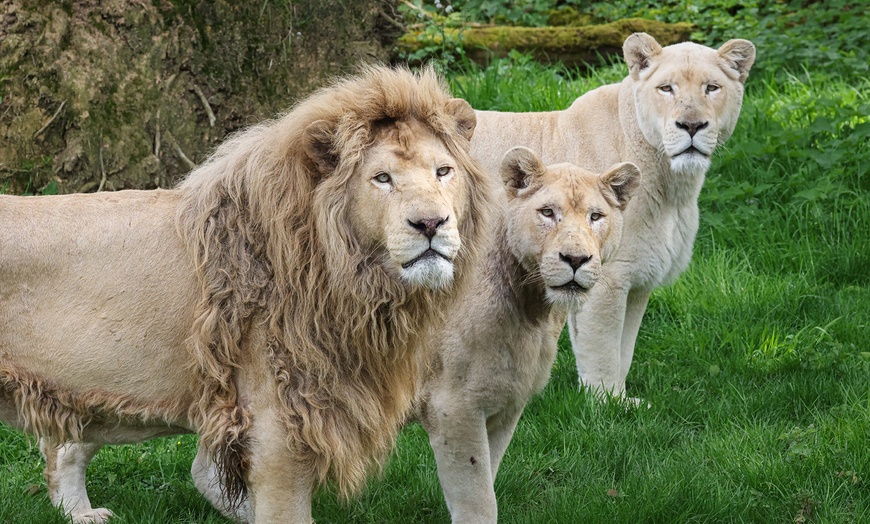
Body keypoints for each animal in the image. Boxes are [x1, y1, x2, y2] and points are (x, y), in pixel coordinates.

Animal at [0, 65, 498, 524]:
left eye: (443, 172)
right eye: (382, 178)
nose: (431, 223)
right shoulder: (278, 426)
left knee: (64, 448)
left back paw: (81, 513)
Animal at [418, 145, 640, 520]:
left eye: (596, 216)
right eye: (547, 212)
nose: (576, 259)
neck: (533, 311)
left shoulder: (505, 401)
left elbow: (489, 475)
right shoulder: (452, 407)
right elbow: (477, 499)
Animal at [470, 32, 756, 400]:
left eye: (712, 88)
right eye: (666, 88)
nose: (691, 125)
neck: (674, 186)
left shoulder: (639, 279)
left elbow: (625, 349)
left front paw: (621, 401)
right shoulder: (606, 278)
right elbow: (603, 350)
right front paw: (606, 403)